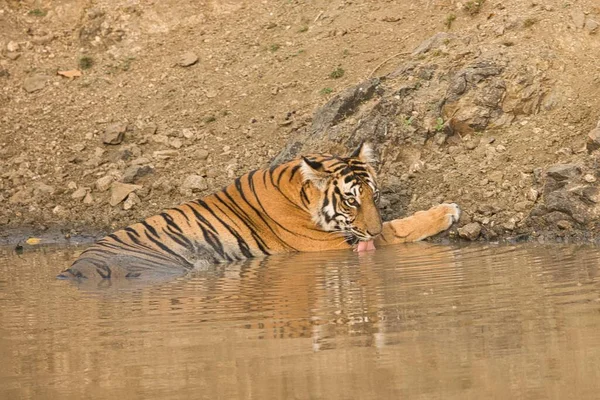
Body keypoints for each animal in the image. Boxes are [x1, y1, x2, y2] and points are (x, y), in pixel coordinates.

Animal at [57, 144, 460, 282]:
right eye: (351, 202)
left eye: (374, 197)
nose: (371, 233)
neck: (301, 194)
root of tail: (73, 270)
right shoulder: (329, 245)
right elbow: (400, 228)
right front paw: (447, 210)